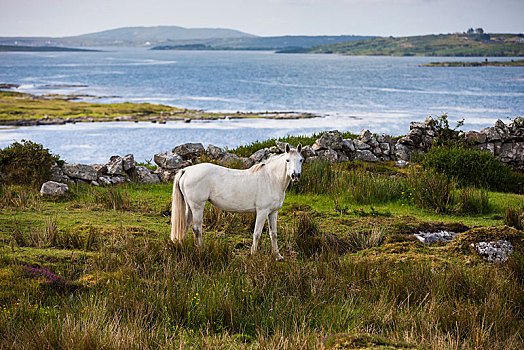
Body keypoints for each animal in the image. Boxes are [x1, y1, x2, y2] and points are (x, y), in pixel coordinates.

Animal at [172, 142, 302, 260]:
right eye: (287, 160)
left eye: (301, 160)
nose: (295, 176)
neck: (271, 178)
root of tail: (186, 170)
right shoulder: (262, 211)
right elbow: (257, 233)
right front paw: (253, 255)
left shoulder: (273, 212)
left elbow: (273, 234)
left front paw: (278, 256)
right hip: (197, 206)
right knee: (197, 229)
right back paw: (202, 251)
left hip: (190, 207)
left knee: (185, 225)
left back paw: (182, 247)